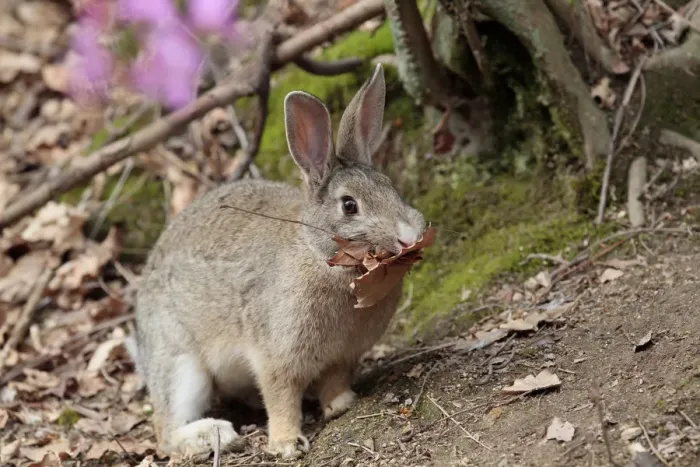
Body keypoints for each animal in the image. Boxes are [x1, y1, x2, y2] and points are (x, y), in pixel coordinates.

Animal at [134, 63, 427, 459]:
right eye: (349, 205)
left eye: (391, 187)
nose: (410, 235)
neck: (321, 258)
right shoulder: (276, 355)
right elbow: (280, 397)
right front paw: (287, 444)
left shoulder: (343, 356)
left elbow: (334, 380)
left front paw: (340, 404)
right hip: (180, 362)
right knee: (165, 431)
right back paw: (214, 434)